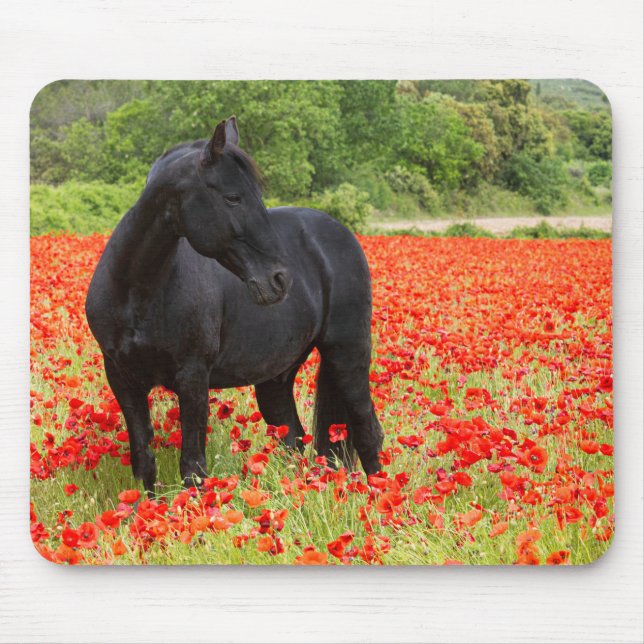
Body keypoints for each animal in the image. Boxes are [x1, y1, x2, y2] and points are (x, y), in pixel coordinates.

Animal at [85, 116, 384, 493]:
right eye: (232, 197)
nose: (280, 279)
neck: (136, 291)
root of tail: (340, 232)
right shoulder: (122, 378)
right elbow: (143, 462)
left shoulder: (193, 377)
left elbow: (193, 468)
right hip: (277, 376)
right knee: (294, 439)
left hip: (347, 352)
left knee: (366, 429)